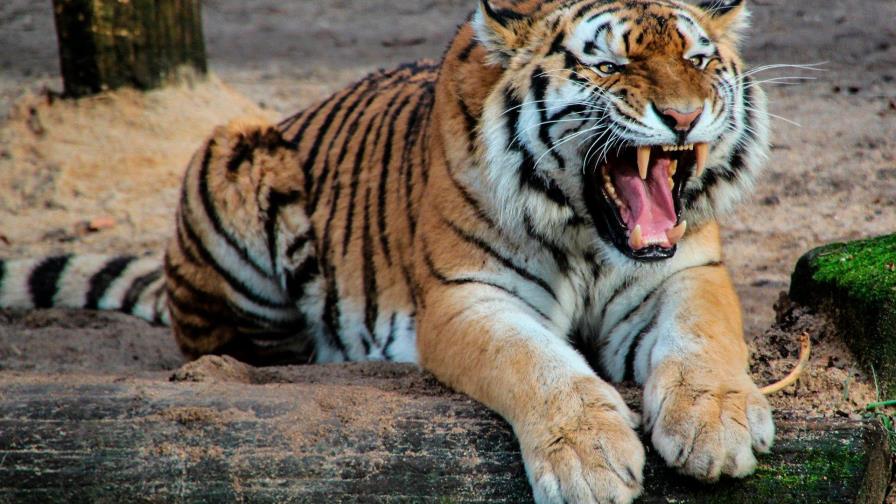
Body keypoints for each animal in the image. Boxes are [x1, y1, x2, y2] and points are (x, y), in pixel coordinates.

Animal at [0, 0, 774, 502]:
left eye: (699, 60)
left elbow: (704, 339)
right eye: (610, 66)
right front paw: (589, 458)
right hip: (233, 150)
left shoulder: (686, 272)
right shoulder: (466, 297)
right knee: (230, 346)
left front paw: (717, 425)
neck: (588, 233)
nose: (683, 117)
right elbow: (538, 364)